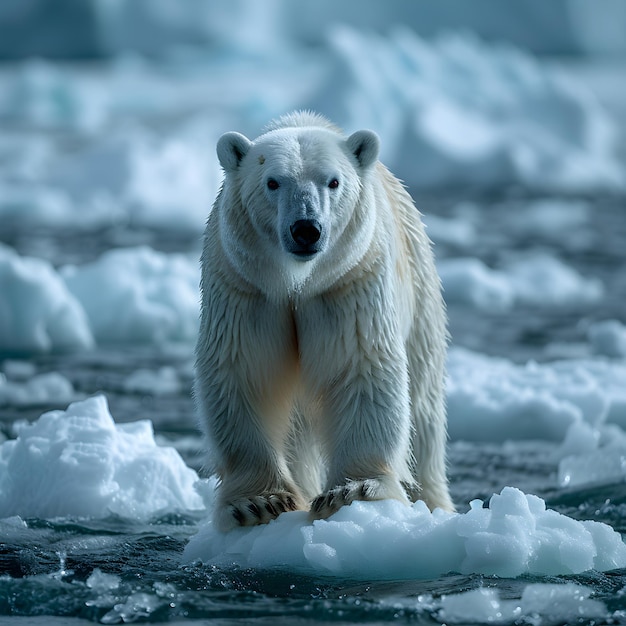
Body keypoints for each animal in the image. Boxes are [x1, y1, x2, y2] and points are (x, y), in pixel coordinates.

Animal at [195, 111, 454, 528]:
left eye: (333, 181)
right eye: (272, 182)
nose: (306, 229)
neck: (298, 281)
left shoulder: (349, 281)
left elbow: (362, 366)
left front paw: (351, 491)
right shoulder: (246, 286)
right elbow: (244, 370)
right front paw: (260, 502)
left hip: (420, 293)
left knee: (423, 409)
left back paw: (432, 503)